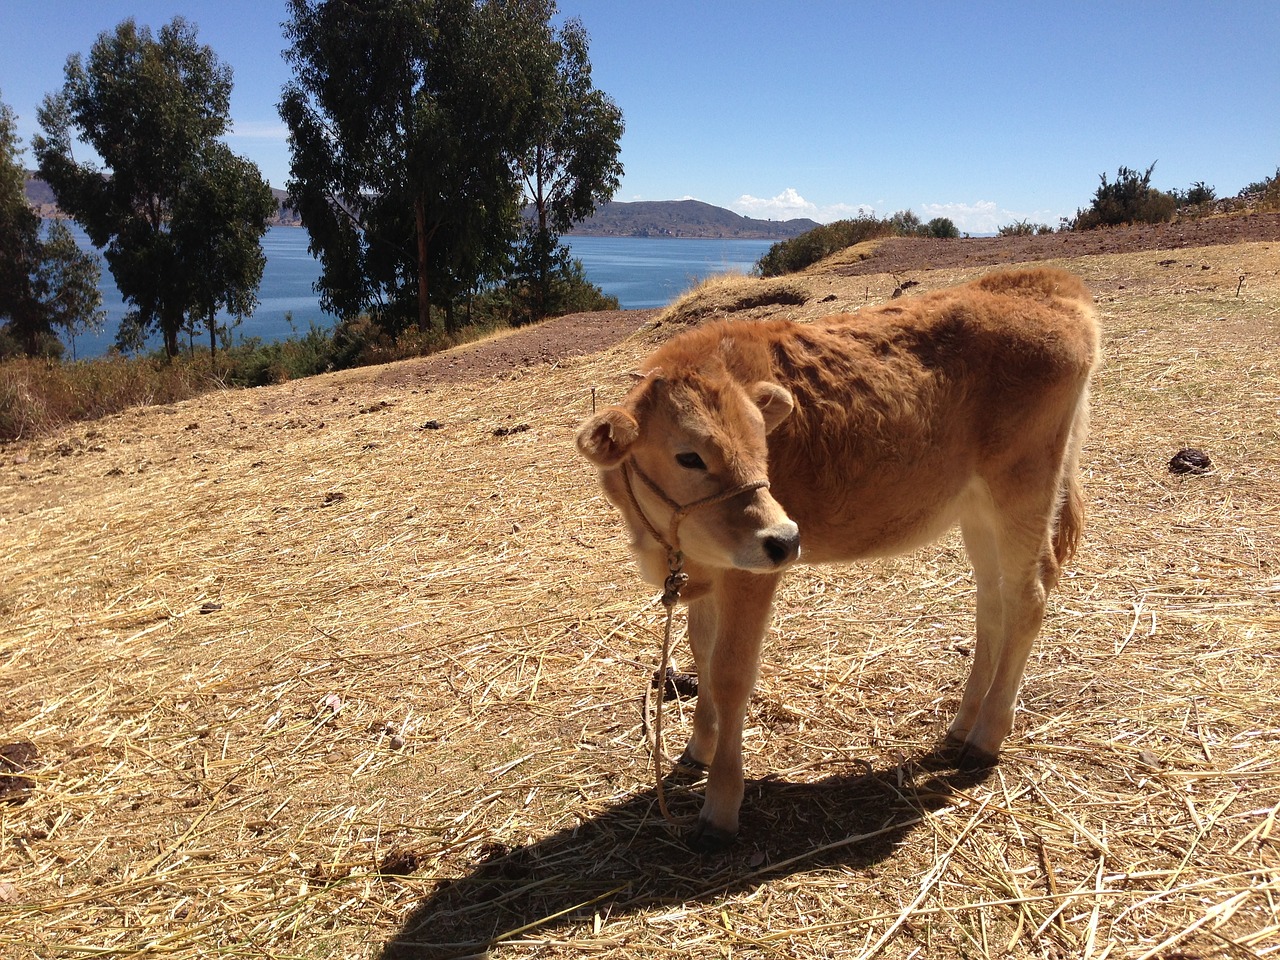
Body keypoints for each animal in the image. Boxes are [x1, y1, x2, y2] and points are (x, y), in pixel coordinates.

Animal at [581, 264, 1100, 849]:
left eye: (763, 444)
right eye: (687, 456)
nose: (786, 538)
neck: (669, 544)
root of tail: (1044, 282)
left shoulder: (749, 573)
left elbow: (731, 673)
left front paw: (720, 805)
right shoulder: (709, 568)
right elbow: (701, 654)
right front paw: (698, 749)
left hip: (1023, 487)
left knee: (1028, 596)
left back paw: (986, 736)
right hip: (978, 508)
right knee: (994, 602)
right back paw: (963, 723)